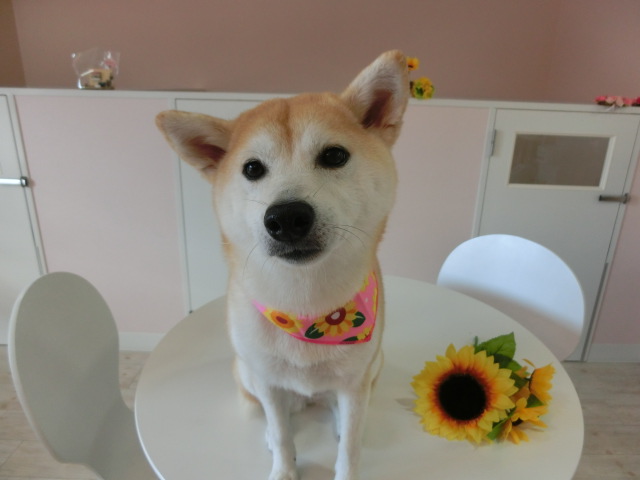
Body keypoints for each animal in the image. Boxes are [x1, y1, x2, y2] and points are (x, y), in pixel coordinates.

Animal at [156, 50, 409, 480]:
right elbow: (282, 431)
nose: (287, 217)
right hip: (246, 371)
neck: (307, 307)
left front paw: (346, 460)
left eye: (334, 155)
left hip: (373, 365)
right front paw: (284, 466)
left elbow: (350, 447)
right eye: (252, 168)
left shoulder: (355, 381)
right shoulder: (268, 382)